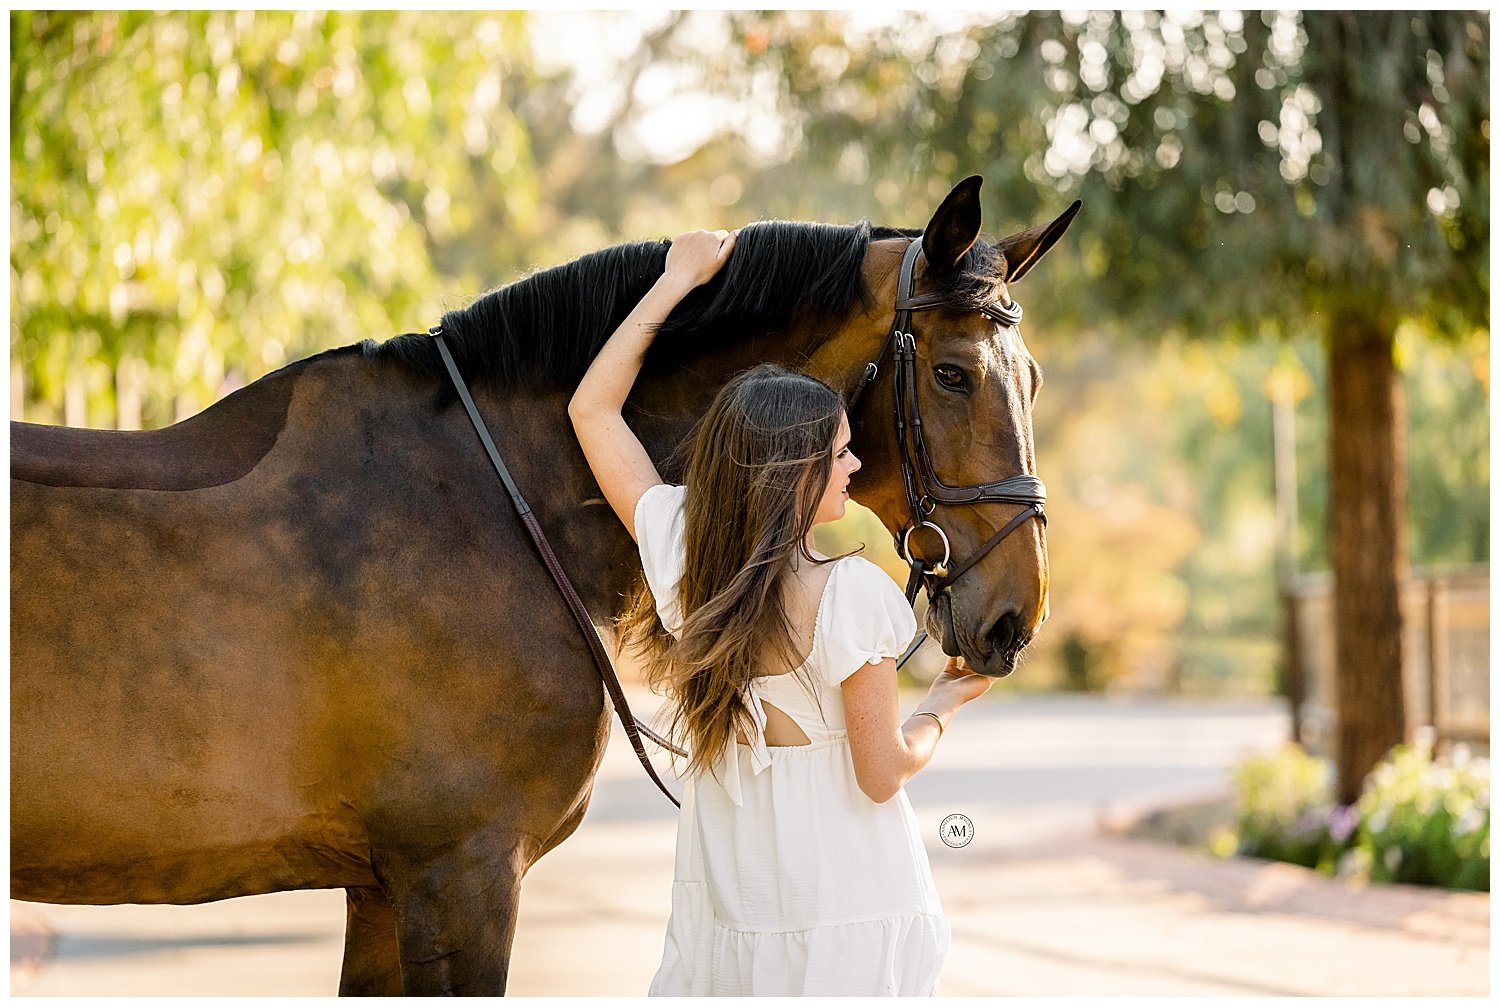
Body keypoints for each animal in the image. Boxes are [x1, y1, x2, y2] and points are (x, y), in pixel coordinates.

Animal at [8, 177, 1068, 996]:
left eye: (1032, 375)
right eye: (954, 373)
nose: (1015, 615)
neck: (490, 498)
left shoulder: (384, 888)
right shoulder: (460, 876)